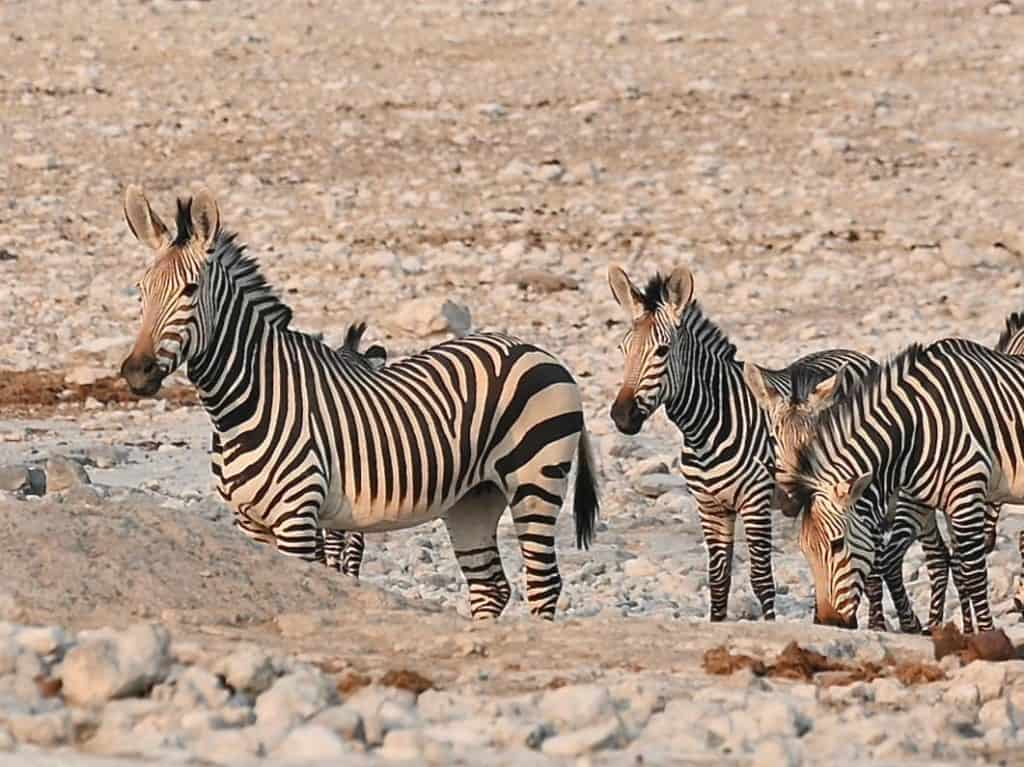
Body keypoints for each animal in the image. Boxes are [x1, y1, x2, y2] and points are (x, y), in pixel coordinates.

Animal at [119, 186, 600, 620]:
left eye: (190, 290)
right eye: (141, 290)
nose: (136, 371)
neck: (242, 404)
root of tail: (536, 350)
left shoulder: (298, 516)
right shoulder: (249, 519)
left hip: (535, 480)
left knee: (543, 584)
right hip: (474, 498)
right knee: (491, 589)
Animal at [607, 264, 864, 622]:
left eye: (662, 351)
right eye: (622, 349)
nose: (622, 416)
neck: (705, 430)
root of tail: (855, 354)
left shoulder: (755, 502)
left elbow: (761, 580)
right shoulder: (709, 506)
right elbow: (718, 579)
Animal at [756, 312, 1024, 632]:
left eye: (836, 545)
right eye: (805, 550)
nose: (829, 622)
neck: (916, 428)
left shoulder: (965, 494)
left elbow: (972, 572)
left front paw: (985, 634)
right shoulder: (930, 501)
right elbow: (932, 564)